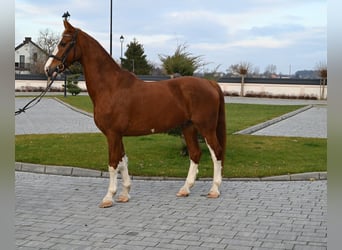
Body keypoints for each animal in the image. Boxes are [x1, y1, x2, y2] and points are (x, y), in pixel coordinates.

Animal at [45, 19, 227, 208]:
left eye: (63, 43)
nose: (48, 69)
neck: (111, 86)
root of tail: (210, 83)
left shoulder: (112, 134)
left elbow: (113, 163)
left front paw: (108, 197)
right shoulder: (118, 135)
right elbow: (123, 161)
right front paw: (125, 193)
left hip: (206, 128)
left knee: (216, 152)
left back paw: (214, 190)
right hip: (188, 127)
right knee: (195, 154)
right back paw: (185, 189)